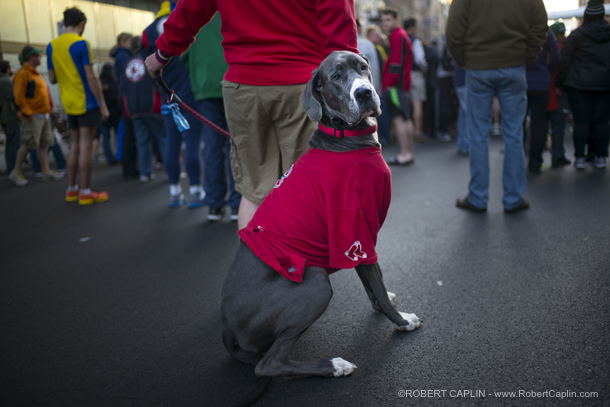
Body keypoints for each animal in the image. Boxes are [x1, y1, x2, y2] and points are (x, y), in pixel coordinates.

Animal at [221, 51, 420, 404]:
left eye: (362, 67)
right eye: (336, 77)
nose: (364, 93)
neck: (346, 139)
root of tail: (226, 326)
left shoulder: (359, 241)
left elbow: (374, 283)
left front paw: (386, 303)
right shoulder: (352, 229)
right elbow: (377, 286)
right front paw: (402, 322)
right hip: (315, 282)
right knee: (269, 364)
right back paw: (334, 365)